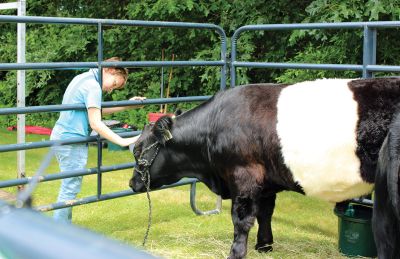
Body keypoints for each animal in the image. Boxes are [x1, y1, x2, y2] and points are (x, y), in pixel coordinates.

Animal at [130, 77, 400, 259]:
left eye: (138, 150)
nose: (132, 183)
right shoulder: (266, 181)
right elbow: (265, 213)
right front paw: (264, 246)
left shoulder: (244, 175)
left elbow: (241, 220)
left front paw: (236, 253)